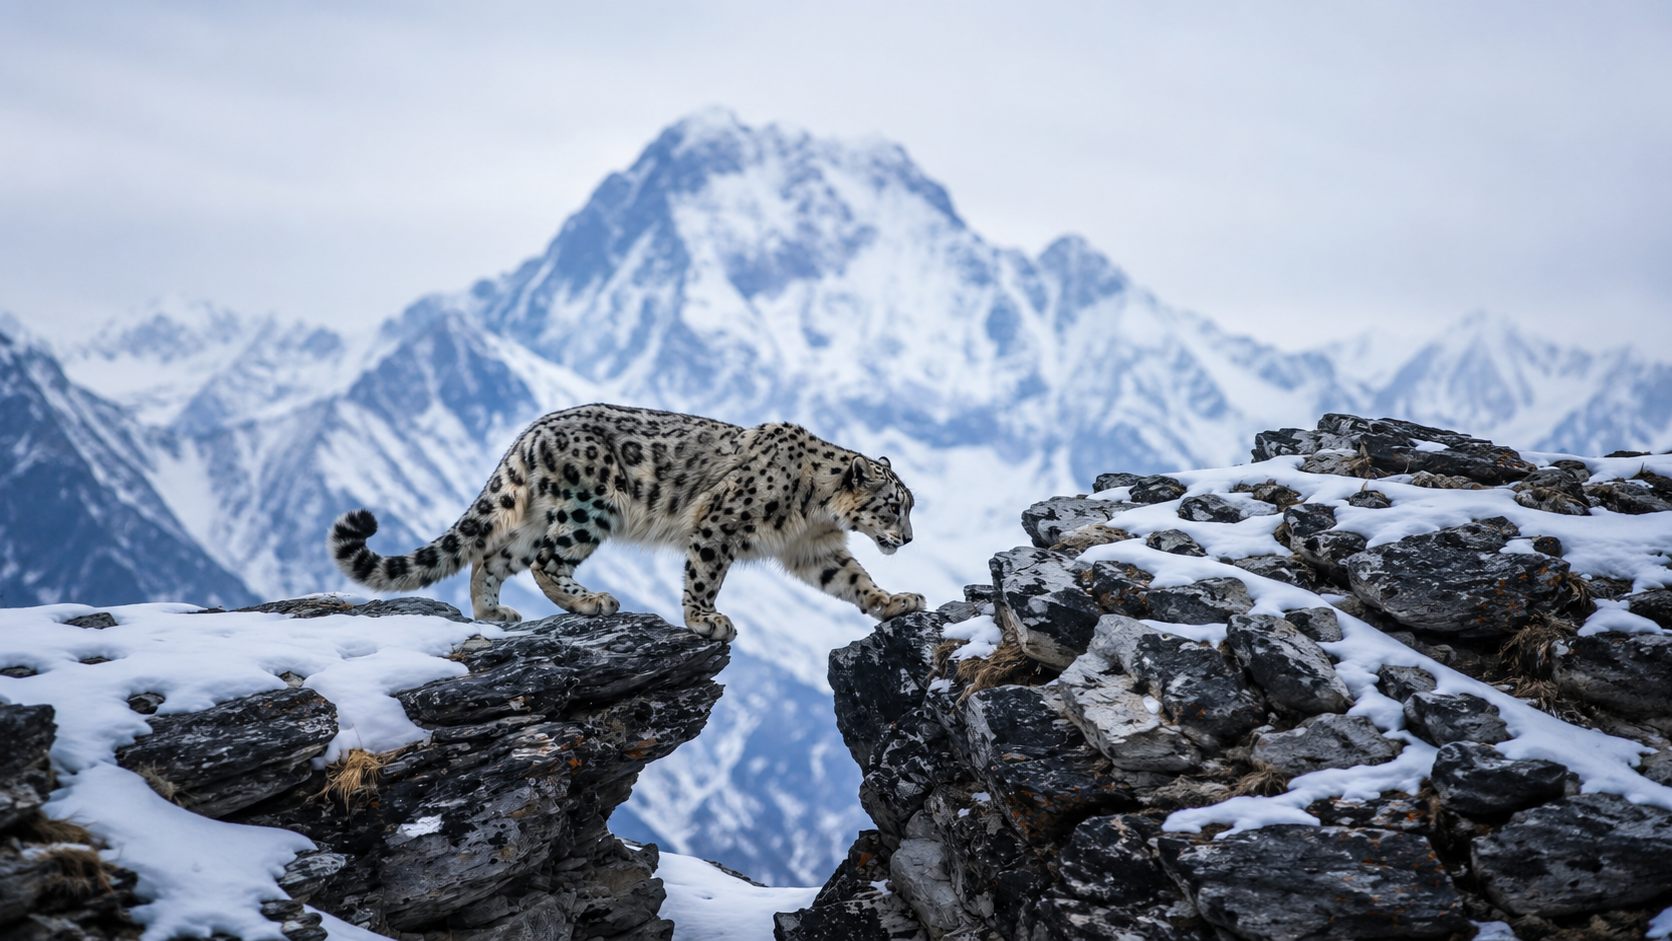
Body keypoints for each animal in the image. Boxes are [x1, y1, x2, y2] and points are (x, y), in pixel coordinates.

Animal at [327, 403, 925, 640]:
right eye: (894, 506)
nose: (909, 538)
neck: (814, 511)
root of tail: (528, 434)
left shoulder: (815, 548)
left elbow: (854, 579)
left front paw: (897, 601)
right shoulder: (721, 523)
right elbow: (704, 575)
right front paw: (706, 621)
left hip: (533, 518)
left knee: (491, 557)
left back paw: (495, 613)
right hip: (589, 506)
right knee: (546, 560)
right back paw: (592, 602)